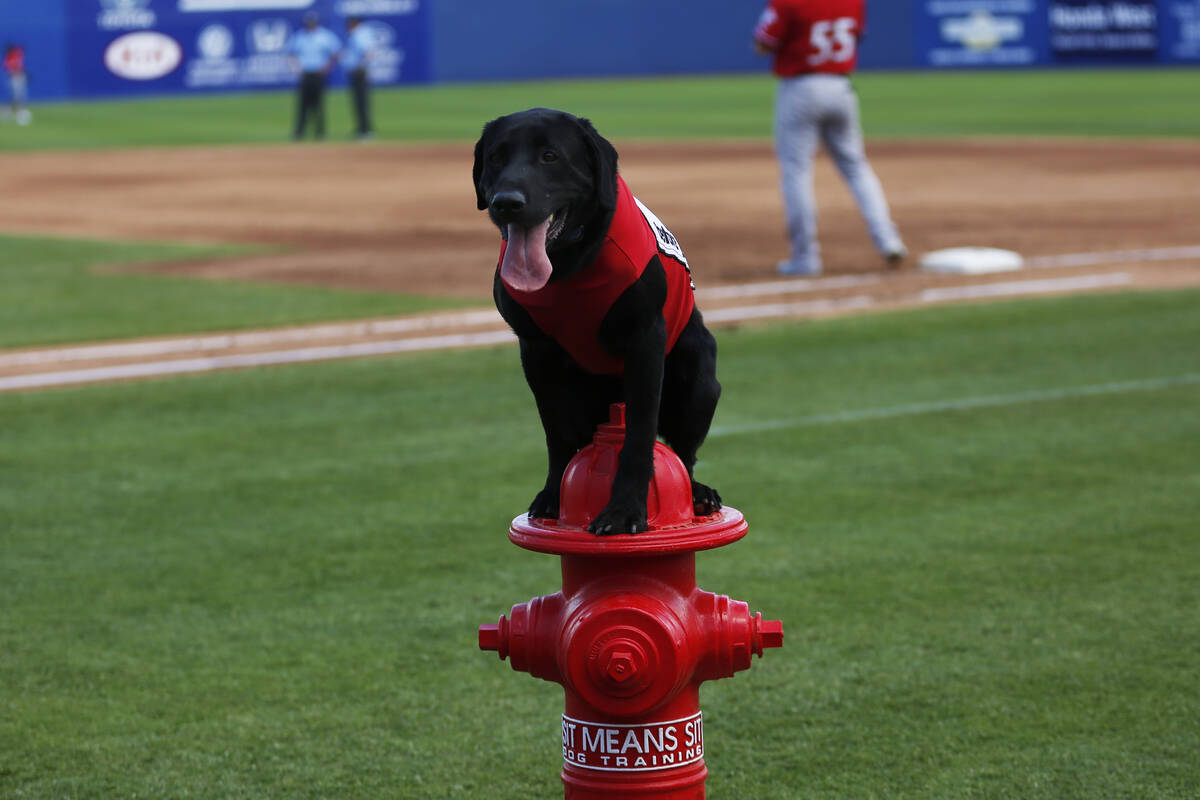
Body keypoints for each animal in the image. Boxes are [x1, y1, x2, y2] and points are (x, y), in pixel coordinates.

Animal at [470, 104, 715, 532]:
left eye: (550, 156)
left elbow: (639, 435)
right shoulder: (536, 350)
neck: (566, 267)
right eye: (497, 157)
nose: (507, 202)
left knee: (685, 454)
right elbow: (557, 433)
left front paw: (625, 510)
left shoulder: (645, 339)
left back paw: (700, 494)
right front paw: (553, 496)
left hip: (699, 373)